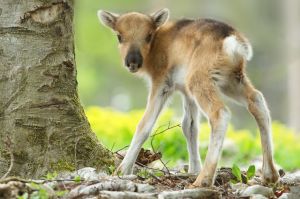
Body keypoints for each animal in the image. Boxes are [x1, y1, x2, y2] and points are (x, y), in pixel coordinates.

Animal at [97, 8, 280, 187]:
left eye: (149, 35)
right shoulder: (185, 92)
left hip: (199, 79)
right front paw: (193, 169)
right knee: (257, 100)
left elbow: (145, 125)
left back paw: (204, 180)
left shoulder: (162, 83)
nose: (133, 62)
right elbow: (189, 126)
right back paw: (269, 174)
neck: (155, 49)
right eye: (119, 36)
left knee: (221, 113)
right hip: (232, 79)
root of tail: (234, 43)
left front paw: (121, 171)